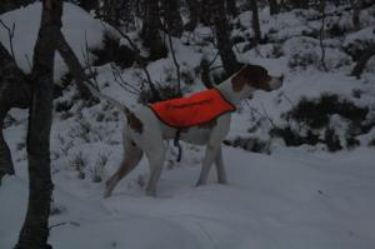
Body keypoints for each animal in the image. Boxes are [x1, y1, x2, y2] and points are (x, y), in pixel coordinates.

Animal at [96, 63, 282, 196]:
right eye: (265, 73)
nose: (282, 77)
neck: (227, 95)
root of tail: (132, 114)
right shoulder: (212, 146)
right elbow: (204, 175)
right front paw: (200, 189)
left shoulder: (217, 145)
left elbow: (222, 173)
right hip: (157, 154)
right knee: (149, 189)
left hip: (133, 156)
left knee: (111, 181)